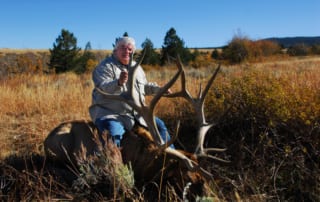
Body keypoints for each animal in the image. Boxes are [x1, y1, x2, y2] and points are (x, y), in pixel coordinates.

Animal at [43, 51, 226, 200]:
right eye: (188, 178)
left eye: (205, 180)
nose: (213, 196)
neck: (146, 161)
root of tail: (45, 141)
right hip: (61, 148)